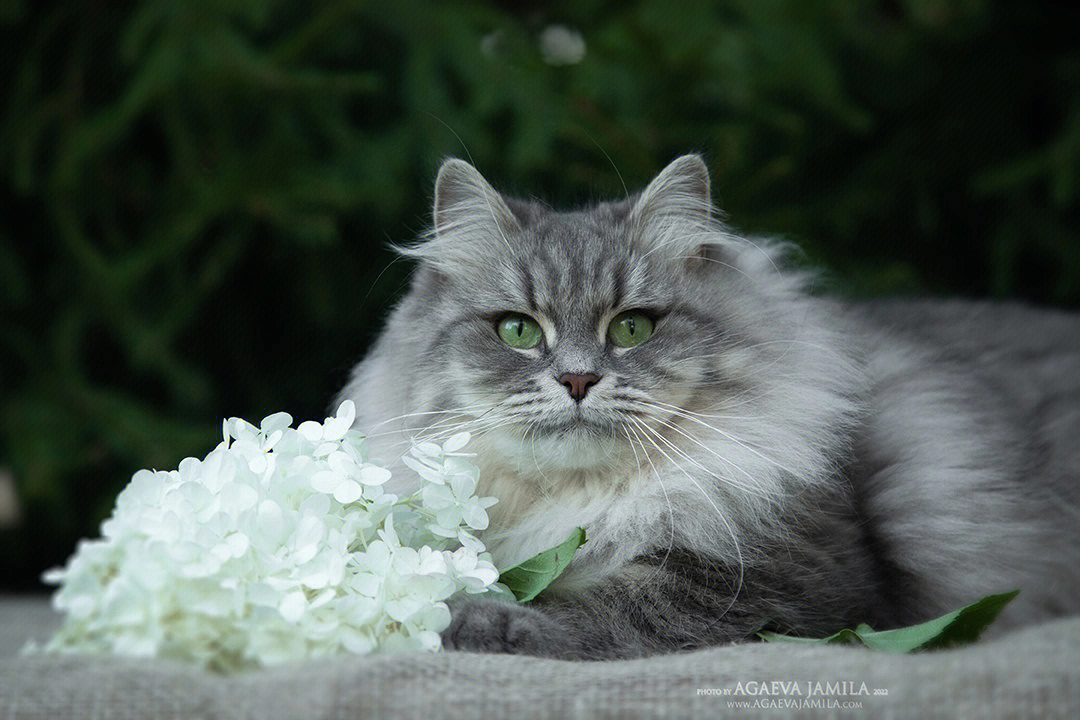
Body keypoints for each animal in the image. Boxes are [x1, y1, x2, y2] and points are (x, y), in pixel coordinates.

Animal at [336, 155, 1080, 660]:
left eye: (632, 328)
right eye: (518, 331)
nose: (577, 379)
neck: (582, 501)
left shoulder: (780, 584)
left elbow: (601, 607)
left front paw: (471, 619)